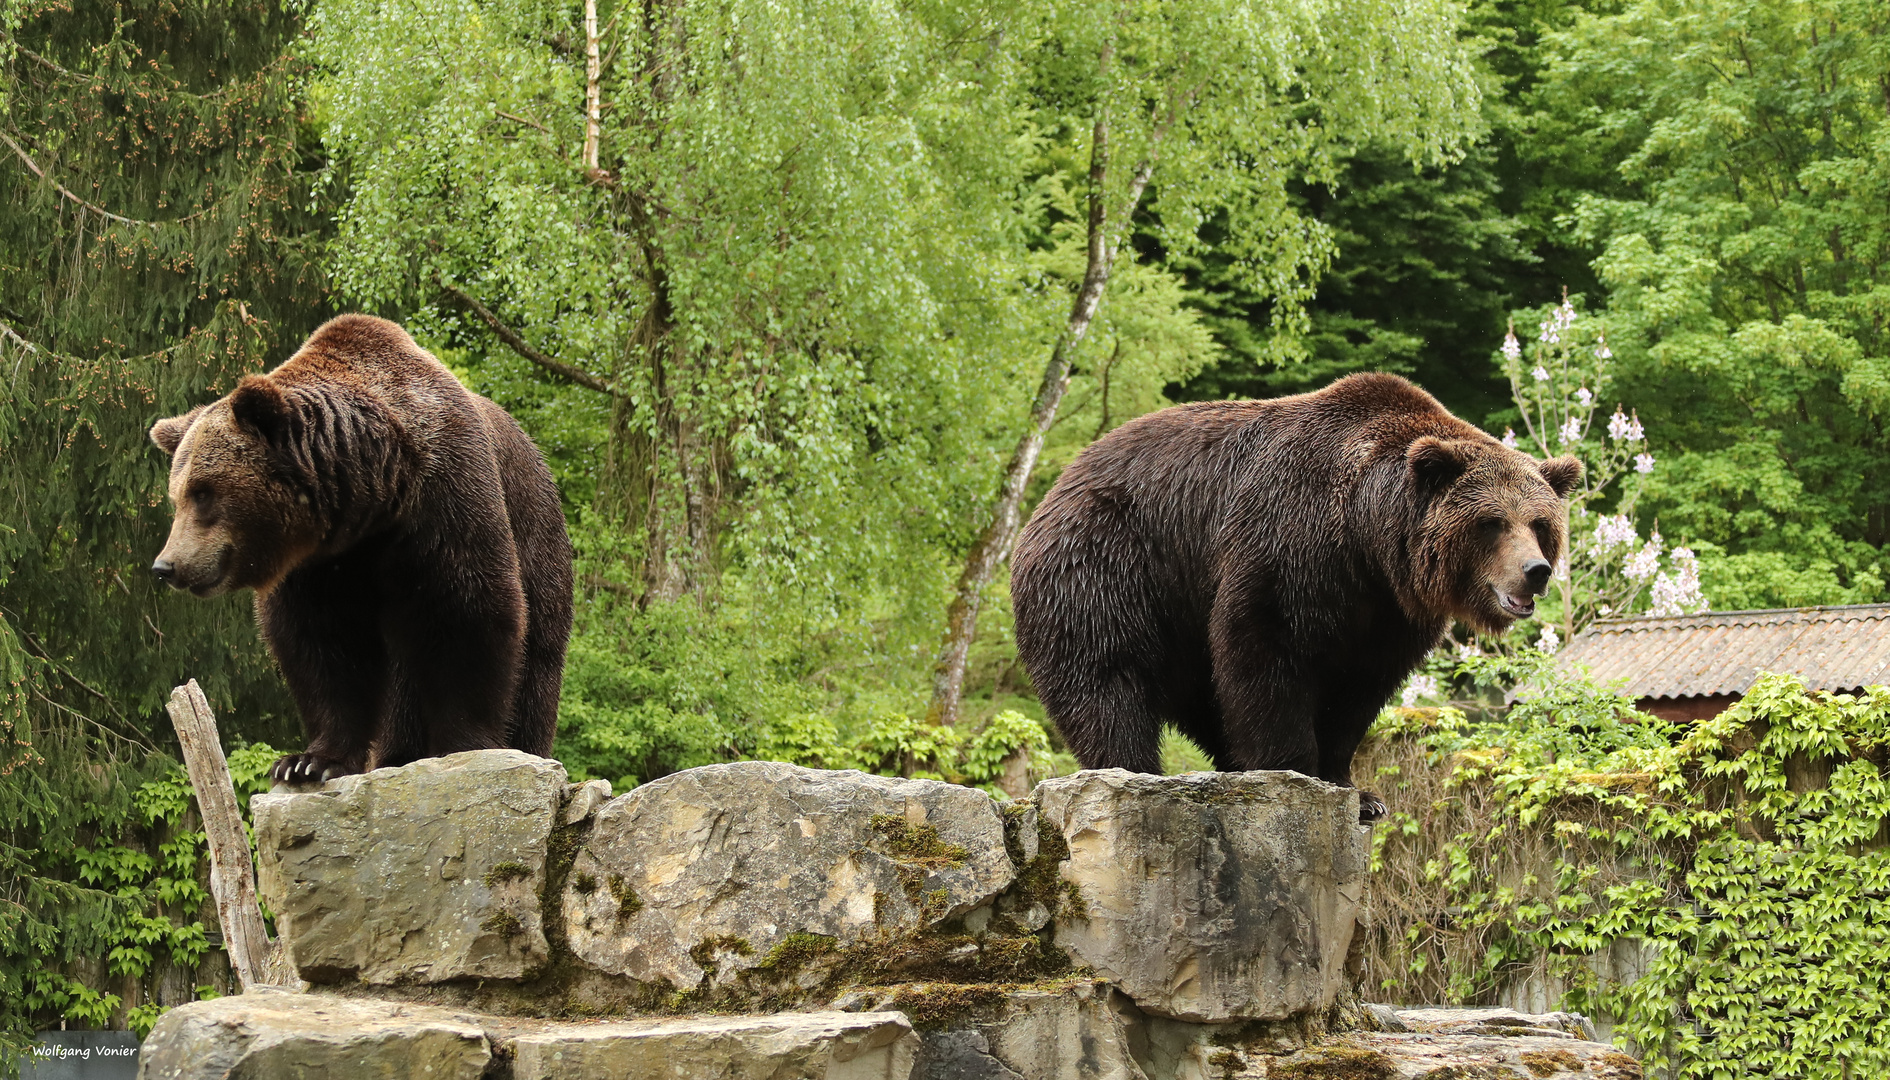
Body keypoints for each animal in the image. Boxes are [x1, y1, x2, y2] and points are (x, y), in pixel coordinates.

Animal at [149, 317, 567, 783]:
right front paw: (307, 762)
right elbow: (323, 645)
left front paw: (465, 748)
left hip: (537, 538)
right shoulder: (318, 564)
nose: (166, 565)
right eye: (177, 496)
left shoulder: (444, 500)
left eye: (203, 493)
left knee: (537, 660)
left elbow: (467, 610)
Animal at [1020, 372, 1580, 820]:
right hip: (1109, 566)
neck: (1368, 540)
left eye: (1540, 523)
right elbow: (1267, 651)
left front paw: (1359, 793)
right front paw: (1294, 772)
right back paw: (1134, 774)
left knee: (1202, 697)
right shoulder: (1291, 546)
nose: (1535, 572)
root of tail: (1055, 489)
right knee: (1105, 677)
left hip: (1178, 619)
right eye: (1492, 522)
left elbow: (1357, 692)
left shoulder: (1387, 613)